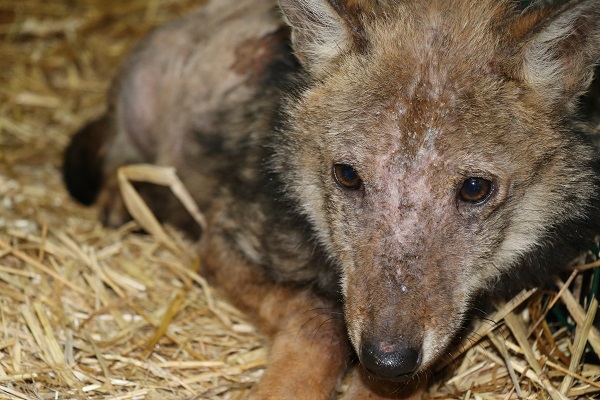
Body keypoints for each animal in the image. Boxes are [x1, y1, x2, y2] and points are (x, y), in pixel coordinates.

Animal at [64, 0, 600, 398]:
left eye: (474, 188)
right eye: (346, 175)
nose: (387, 358)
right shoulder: (224, 238)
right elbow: (321, 321)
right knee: (117, 162)